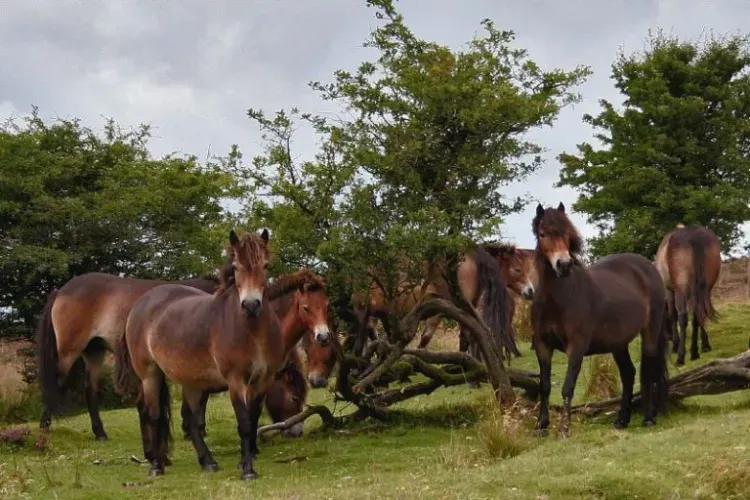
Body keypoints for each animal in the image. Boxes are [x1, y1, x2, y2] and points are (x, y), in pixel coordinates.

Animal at [35, 272, 220, 440]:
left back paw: (100, 433)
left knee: (90, 389)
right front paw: (195, 430)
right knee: (56, 382)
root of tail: (61, 291)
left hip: (94, 352)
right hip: (68, 352)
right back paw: (44, 431)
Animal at [528, 203, 668, 438]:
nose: (563, 265)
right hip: (618, 343)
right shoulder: (542, 344)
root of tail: (649, 268)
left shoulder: (576, 346)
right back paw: (622, 420)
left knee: (648, 370)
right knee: (629, 373)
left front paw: (564, 429)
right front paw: (541, 425)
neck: (556, 300)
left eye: (567, 233)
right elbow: (544, 385)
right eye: (543, 234)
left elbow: (567, 386)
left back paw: (648, 418)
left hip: (651, 331)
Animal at [656, 225, 724, 366]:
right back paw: (697, 350)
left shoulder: (669, 290)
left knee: (683, 317)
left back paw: (682, 356)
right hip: (705, 288)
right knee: (700, 313)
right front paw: (704, 343)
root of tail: (694, 236)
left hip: (682, 290)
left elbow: (673, 315)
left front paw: (675, 345)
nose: (668, 337)